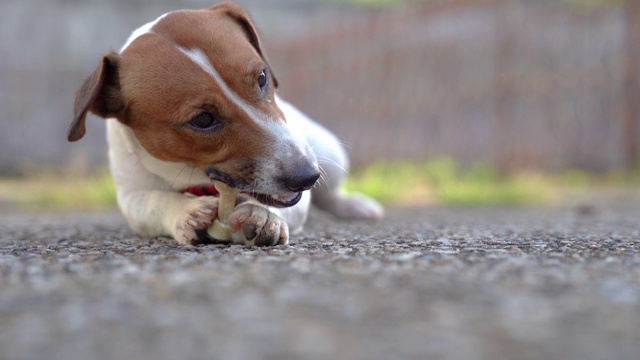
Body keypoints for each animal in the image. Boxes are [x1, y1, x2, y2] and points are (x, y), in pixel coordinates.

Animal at [67, 1, 382, 246]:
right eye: (203, 119)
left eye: (262, 78)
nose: (307, 177)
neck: (199, 182)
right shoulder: (131, 195)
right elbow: (152, 204)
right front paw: (185, 212)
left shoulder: (299, 195)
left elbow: (290, 206)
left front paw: (262, 215)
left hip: (329, 153)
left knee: (331, 194)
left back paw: (355, 205)